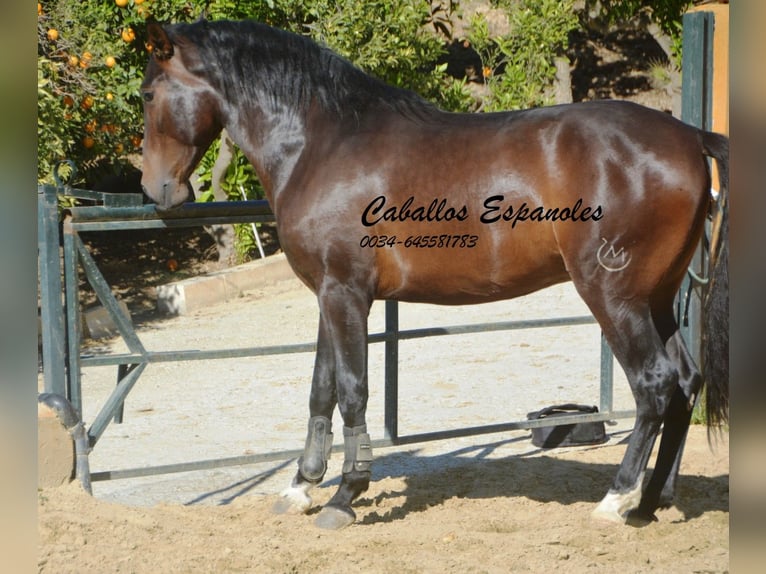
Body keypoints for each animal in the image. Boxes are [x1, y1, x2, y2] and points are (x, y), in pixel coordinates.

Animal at [140, 18, 732, 532]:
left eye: (147, 94)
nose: (155, 188)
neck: (323, 142)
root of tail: (688, 136)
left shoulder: (347, 294)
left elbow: (352, 391)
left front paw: (344, 495)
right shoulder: (328, 295)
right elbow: (320, 390)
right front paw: (300, 488)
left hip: (613, 296)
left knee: (655, 384)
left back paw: (616, 500)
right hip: (656, 297)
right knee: (685, 382)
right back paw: (650, 502)